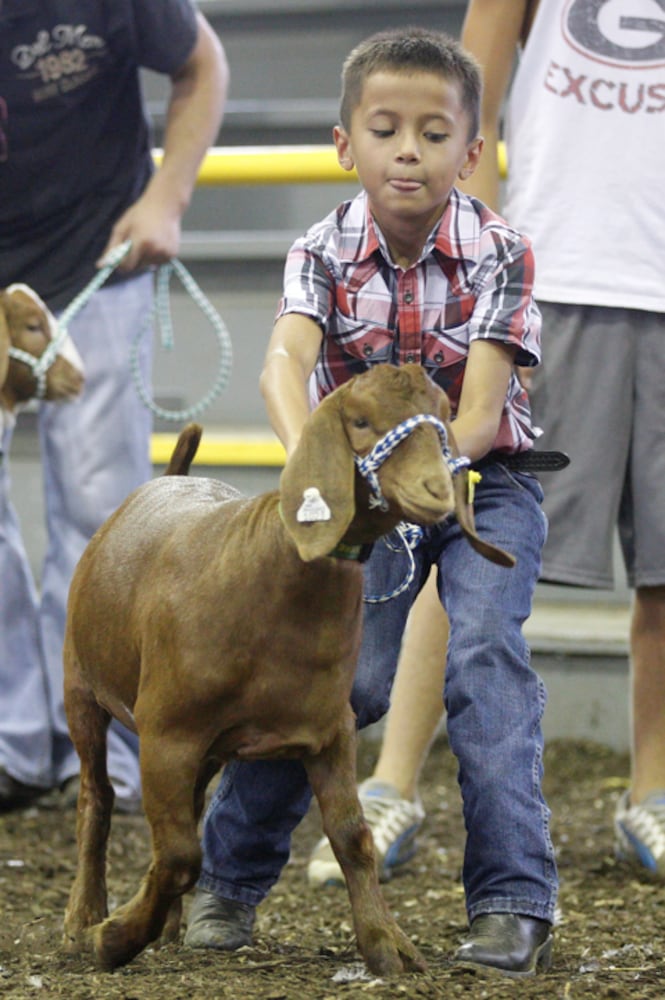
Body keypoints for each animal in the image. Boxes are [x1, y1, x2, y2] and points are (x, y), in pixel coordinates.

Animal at [61, 362, 508, 976]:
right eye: (360, 421)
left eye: (444, 416)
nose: (437, 490)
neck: (265, 571)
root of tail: (166, 481)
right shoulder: (168, 730)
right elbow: (178, 853)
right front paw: (115, 937)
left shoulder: (329, 730)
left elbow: (352, 837)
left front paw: (386, 943)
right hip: (81, 684)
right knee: (96, 797)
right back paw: (82, 918)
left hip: (207, 745)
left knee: (183, 810)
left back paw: (168, 926)